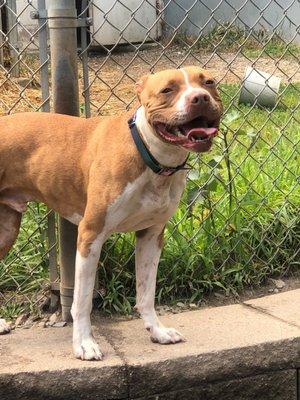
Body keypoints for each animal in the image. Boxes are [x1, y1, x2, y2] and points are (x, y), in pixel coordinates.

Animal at [0, 65, 220, 360]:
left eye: (209, 83)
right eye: (167, 90)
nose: (200, 98)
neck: (151, 155)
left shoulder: (151, 235)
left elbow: (146, 293)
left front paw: (157, 331)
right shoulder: (90, 235)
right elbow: (82, 301)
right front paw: (84, 343)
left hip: (6, 229)